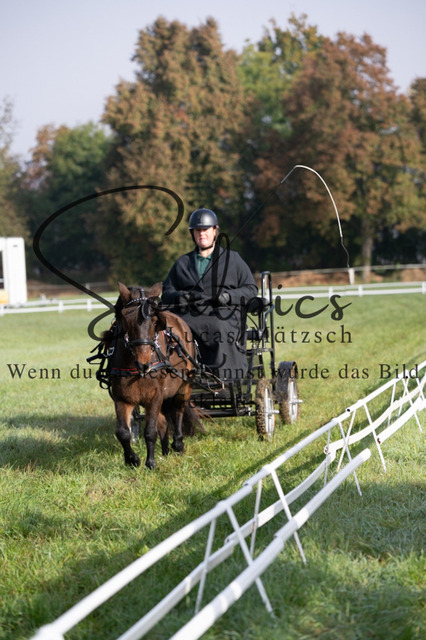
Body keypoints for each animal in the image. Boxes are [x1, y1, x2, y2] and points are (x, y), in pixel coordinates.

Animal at [101, 282, 205, 469]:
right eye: (125, 319)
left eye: (155, 321)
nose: (143, 363)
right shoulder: (122, 397)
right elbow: (123, 432)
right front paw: (132, 459)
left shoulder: (155, 396)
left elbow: (150, 430)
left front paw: (150, 462)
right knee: (163, 421)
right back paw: (165, 450)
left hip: (184, 386)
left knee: (178, 410)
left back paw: (178, 444)